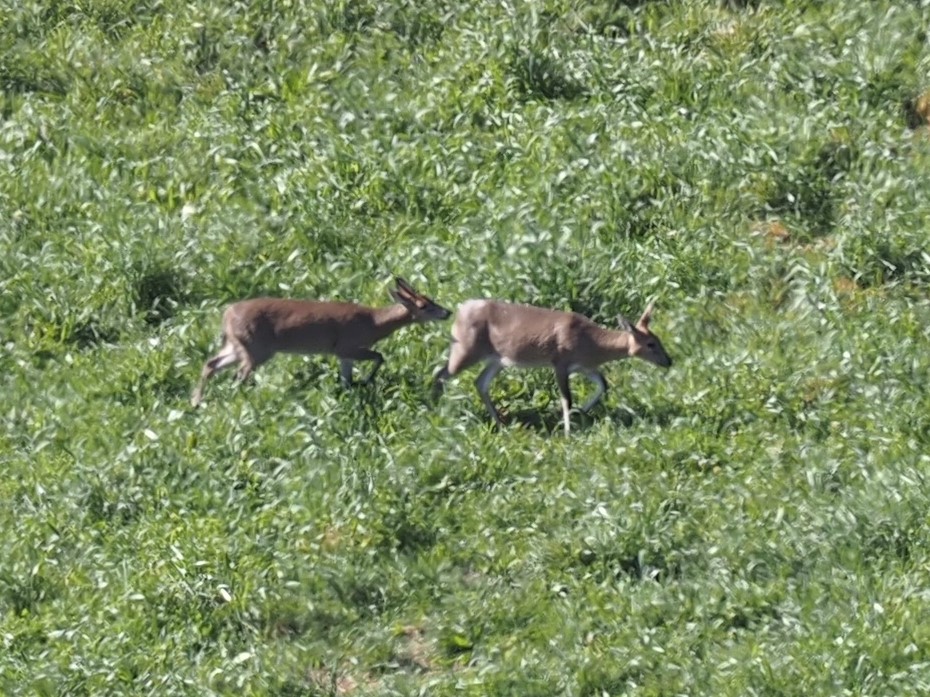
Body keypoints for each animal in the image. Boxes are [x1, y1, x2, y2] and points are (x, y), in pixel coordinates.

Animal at [190, 278, 452, 406]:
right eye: (424, 306)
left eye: (431, 298)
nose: (447, 312)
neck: (374, 323)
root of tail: (226, 315)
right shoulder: (348, 345)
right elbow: (380, 356)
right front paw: (366, 381)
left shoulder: (343, 354)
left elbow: (347, 379)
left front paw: (353, 389)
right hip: (257, 348)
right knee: (239, 375)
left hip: (239, 345)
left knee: (211, 363)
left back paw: (196, 400)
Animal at [432, 300, 672, 436]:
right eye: (651, 344)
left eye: (659, 339)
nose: (669, 361)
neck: (591, 343)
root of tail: (459, 313)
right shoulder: (560, 362)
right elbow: (567, 399)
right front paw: (567, 431)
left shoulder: (585, 366)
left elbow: (603, 385)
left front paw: (578, 413)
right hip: (466, 349)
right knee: (441, 373)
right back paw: (437, 411)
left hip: (497, 359)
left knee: (479, 382)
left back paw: (500, 424)